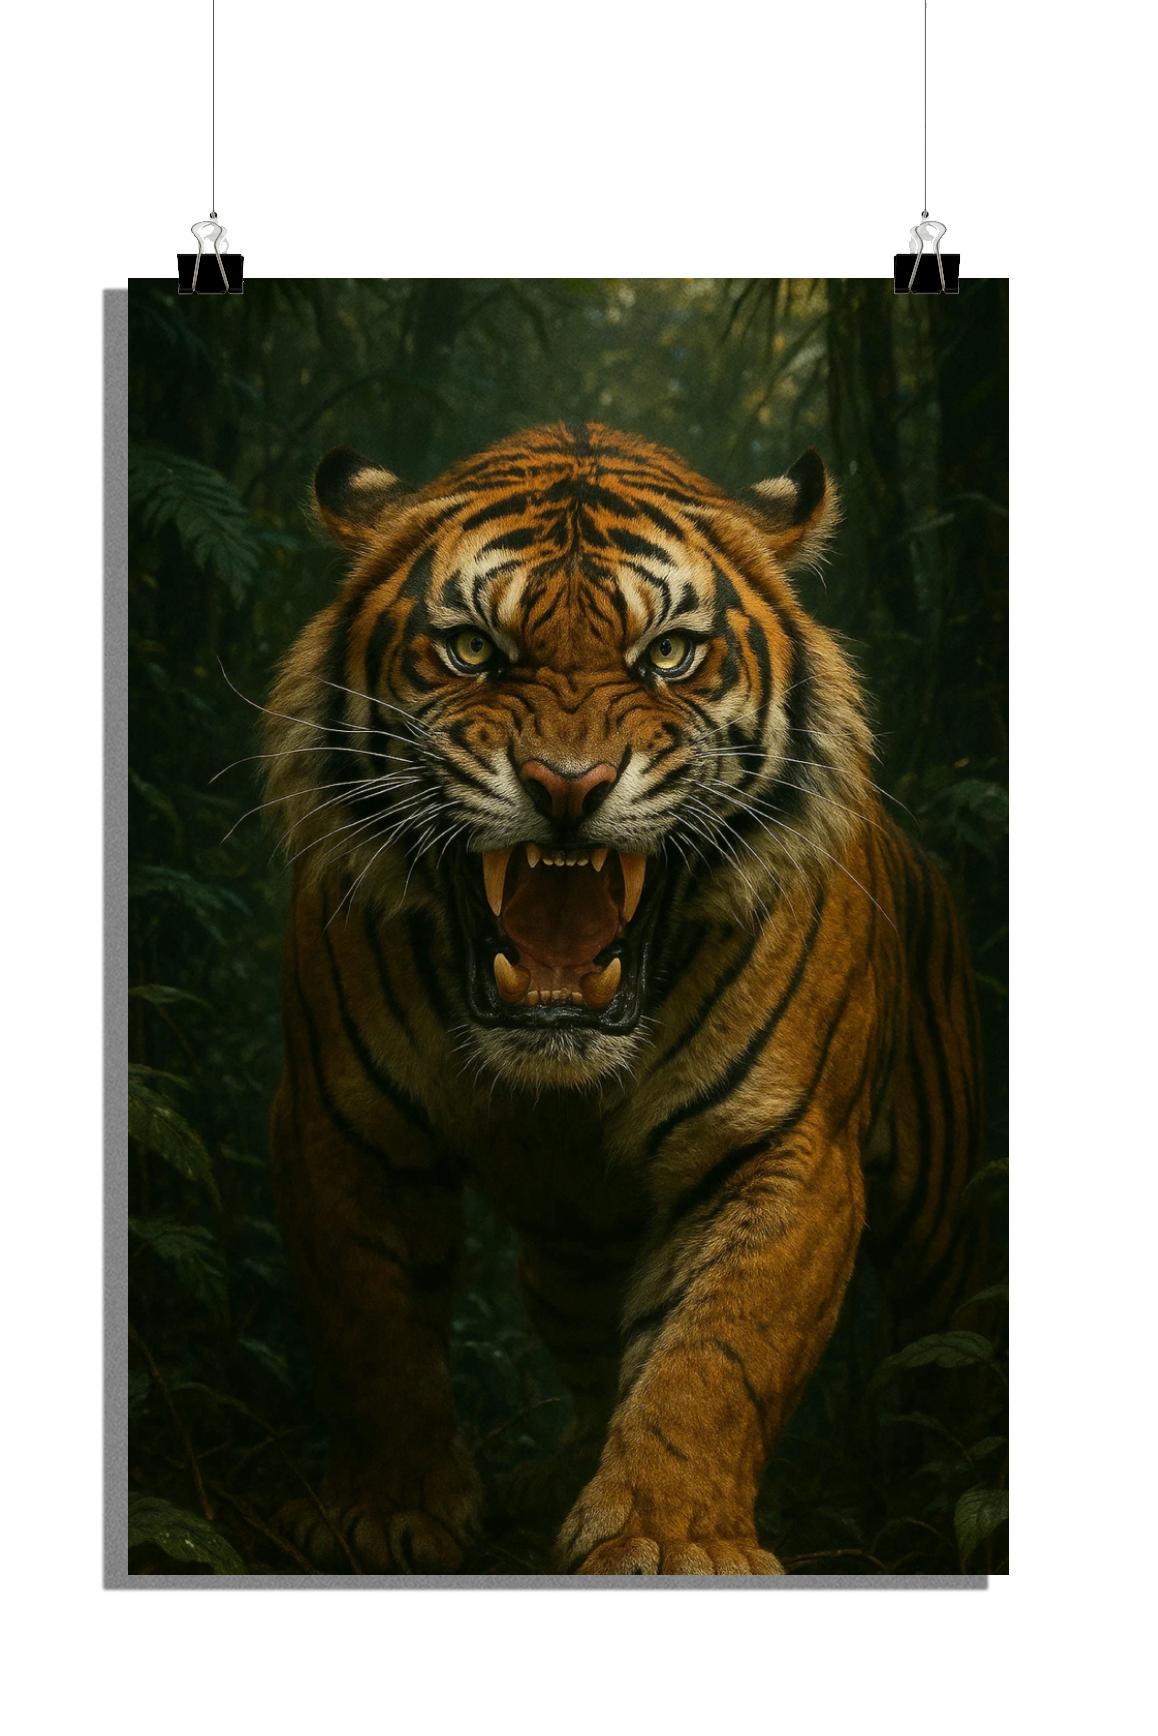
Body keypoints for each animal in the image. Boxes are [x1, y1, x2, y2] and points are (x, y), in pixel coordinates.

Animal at [264, 421, 983, 1576]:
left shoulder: (778, 1149)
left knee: (956, 1336)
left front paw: (669, 1536)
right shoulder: (341, 1123)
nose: (568, 784)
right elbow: (369, 1322)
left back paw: (952, 1484)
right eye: (474, 650)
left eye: (669, 655)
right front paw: (384, 1513)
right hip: (571, 1246)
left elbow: (715, 1354)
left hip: (942, 1205)